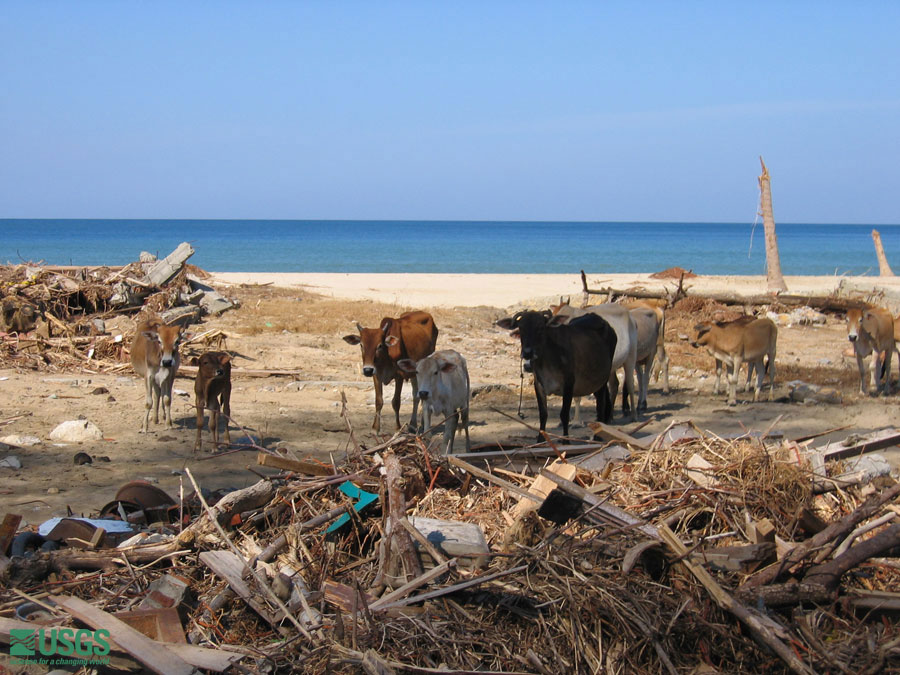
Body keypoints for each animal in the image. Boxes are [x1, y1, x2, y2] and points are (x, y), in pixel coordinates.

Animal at [492, 310, 620, 440]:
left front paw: (565, 441)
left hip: (603, 379)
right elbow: (543, 414)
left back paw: (598, 436)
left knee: (601, 404)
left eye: (540, 327)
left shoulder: (569, 384)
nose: (527, 352)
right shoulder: (539, 385)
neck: (547, 360)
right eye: (521, 327)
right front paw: (540, 439)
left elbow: (564, 414)